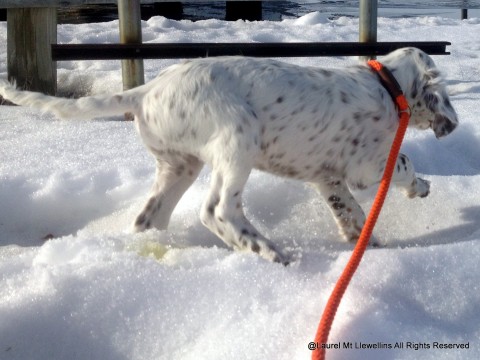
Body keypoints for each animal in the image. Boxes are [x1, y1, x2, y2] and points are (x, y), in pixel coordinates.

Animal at [0, 47, 458, 262]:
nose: (451, 127)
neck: (387, 83)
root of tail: (146, 91)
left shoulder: (327, 177)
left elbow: (347, 208)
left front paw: (364, 240)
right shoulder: (368, 162)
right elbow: (403, 164)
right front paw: (420, 187)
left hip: (179, 164)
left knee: (149, 217)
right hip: (239, 139)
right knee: (217, 209)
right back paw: (267, 250)